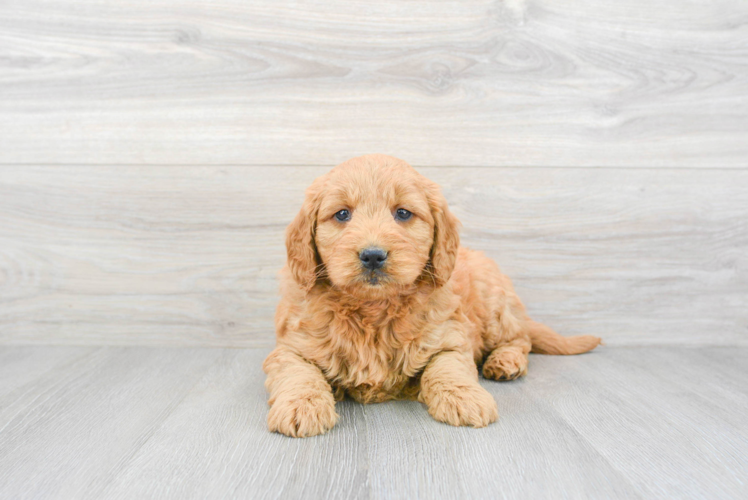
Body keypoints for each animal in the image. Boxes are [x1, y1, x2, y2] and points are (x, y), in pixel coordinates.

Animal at [262, 154, 600, 436]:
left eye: (403, 213)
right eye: (342, 214)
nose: (373, 256)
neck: (374, 309)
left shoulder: (450, 338)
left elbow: (447, 368)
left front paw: (465, 398)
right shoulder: (291, 347)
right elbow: (298, 373)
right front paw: (302, 406)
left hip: (496, 308)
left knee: (521, 339)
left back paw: (505, 362)